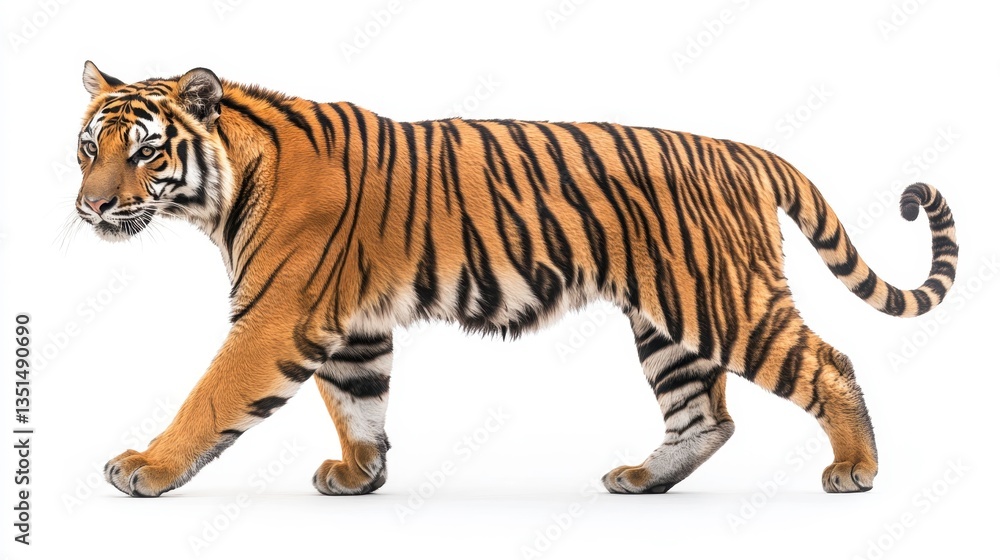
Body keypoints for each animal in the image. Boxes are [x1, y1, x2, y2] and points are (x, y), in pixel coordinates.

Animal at [75, 61, 958, 498]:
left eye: (144, 151)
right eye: (90, 147)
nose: (90, 206)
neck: (218, 191)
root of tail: (744, 151)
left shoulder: (274, 318)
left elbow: (210, 399)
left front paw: (146, 468)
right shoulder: (352, 325)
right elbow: (357, 402)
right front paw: (360, 476)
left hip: (723, 302)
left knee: (830, 365)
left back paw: (857, 471)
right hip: (667, 324)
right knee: (705, 416)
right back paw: (643, 480)